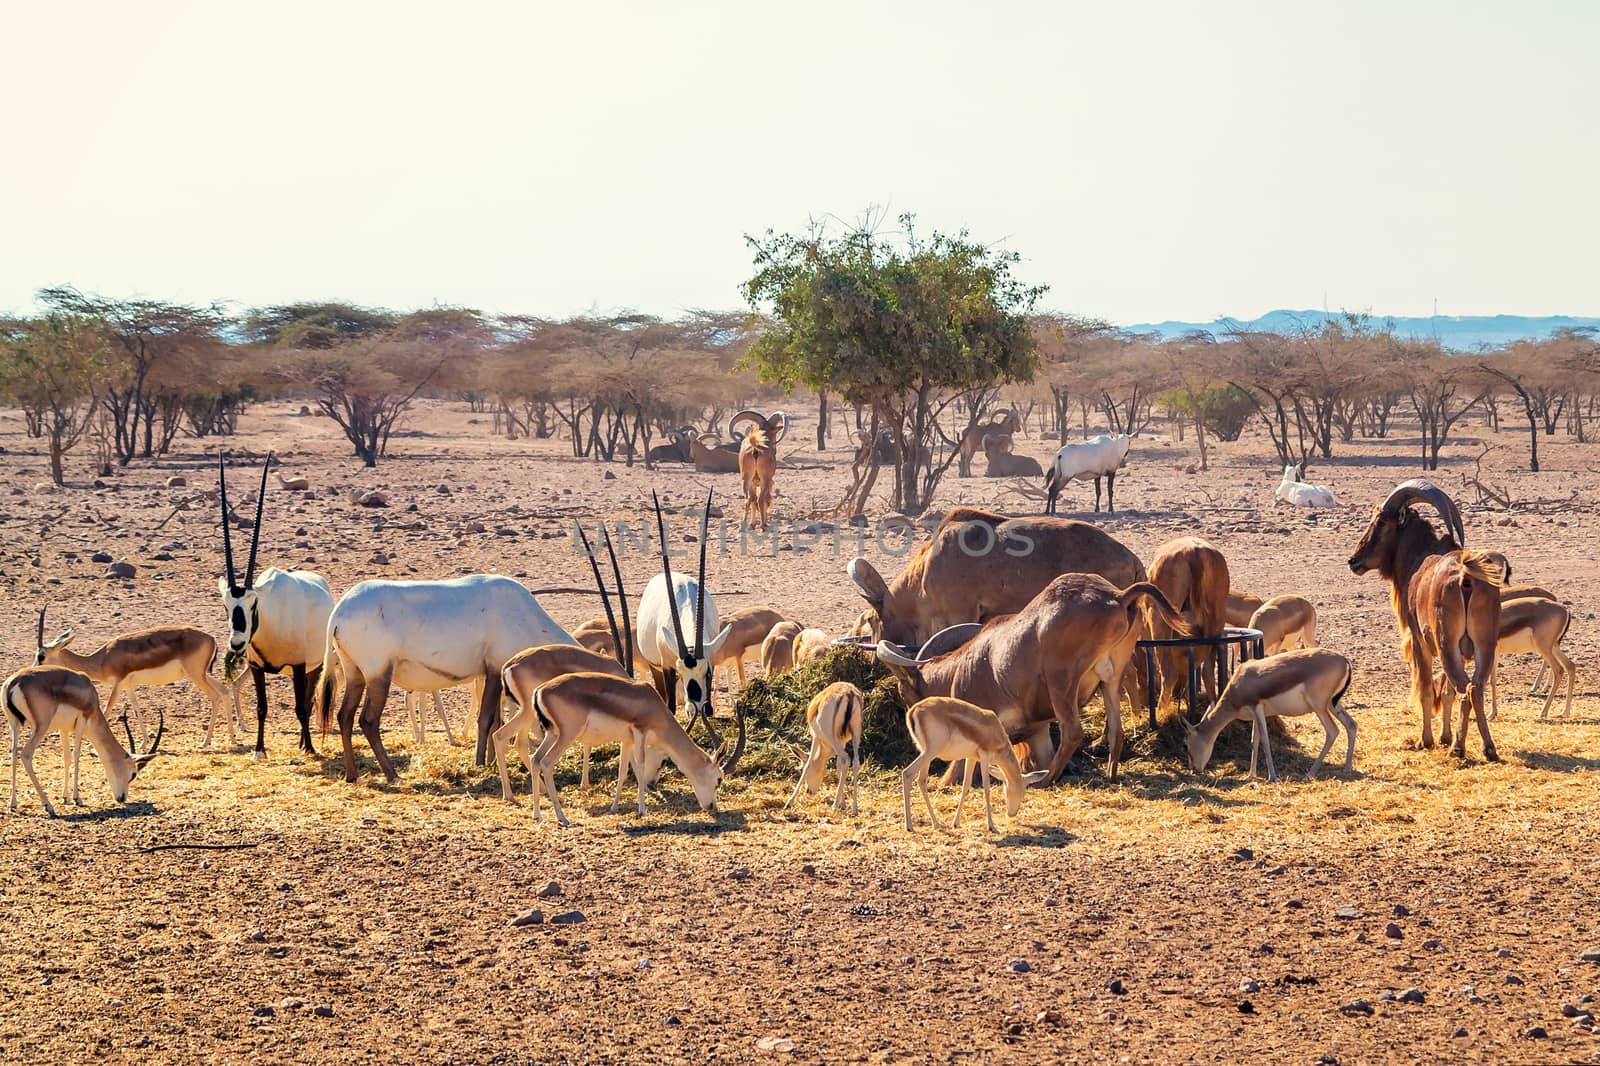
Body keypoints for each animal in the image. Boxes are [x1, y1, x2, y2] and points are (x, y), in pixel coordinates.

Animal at [4, 665, 164, 813]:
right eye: (133, 774)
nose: (122, 798)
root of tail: (14, 681)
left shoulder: (64, 729)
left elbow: (67, 758)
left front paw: (66, 797)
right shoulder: (82, 721)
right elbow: (76, 755)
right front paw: (77, 799)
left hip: (14, 724)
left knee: (13, 753)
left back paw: (13, 804)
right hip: (41, 726)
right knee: (26, 754)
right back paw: (48, 806)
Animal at [35, 605, 233, 745]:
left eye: (41, 656)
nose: (34, 671)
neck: (102, 658)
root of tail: (211, 638)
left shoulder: (118, 683)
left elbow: (107, 709)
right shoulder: (129, 686)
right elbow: (137, 710)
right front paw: (144, 743)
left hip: (196, 675)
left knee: (215, 696)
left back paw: (206, 742)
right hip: (202, 674)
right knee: (224, 691)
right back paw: (233, 738)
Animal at [784, 681, 864, 813]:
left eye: (800, 768)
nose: (809, 791)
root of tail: (849, 693)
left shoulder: (816, 737)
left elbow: (809, 764)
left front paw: (789, 802)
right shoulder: (842, 742)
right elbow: (838, 767)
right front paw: (843, 803)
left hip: (831, 736)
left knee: (845, 758)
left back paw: (834, 805)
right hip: (856, 734)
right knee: (855, 762)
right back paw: (854, 808)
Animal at [902, 694, 1024, 832]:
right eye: (1020, 793)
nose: (1012, 814)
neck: (995, 731)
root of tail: (914, 710)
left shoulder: (971, 758)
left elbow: (966, 785)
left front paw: (956, 823)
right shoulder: (985, 757)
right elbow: (986, 787)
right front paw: (992, 826)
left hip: (925, 753)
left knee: (921, 780)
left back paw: (937, 824)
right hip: (930, 752)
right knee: (907, 773)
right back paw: (909, 826)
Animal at [1184, 640, 1356, 781]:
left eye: (1185, 745)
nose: (1195, 769)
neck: (1240, 683)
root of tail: (1344, 660)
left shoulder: (1257, 707)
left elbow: (1265, 741)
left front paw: (1271, 777)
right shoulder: (1255, 714)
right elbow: (1254, 741)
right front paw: (1250, 776)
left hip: (1320, 707)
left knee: (1332, 731)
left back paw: (1310, 774)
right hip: (1332, 704)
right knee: (1351, 725)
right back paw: (1346, 769)